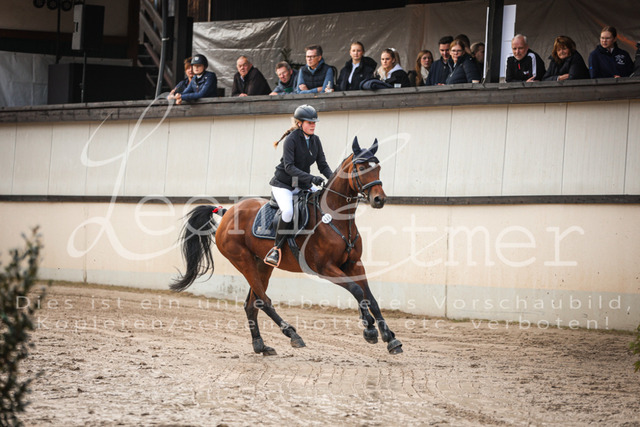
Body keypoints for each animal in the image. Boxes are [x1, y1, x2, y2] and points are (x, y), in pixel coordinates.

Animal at [170, 137, 403, 355]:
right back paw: (292, 334)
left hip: (262, 265)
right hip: (243, 261)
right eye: (362, 168)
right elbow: (356, 290)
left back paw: (261, 345)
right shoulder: (325, 268)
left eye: (378, 168)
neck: (336, 219)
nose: (379, 199)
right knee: (263, 301)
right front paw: (369, 329)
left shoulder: (354, 264)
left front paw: (390, 338)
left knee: (252, 304)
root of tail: (227, 213)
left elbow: (370, 297)